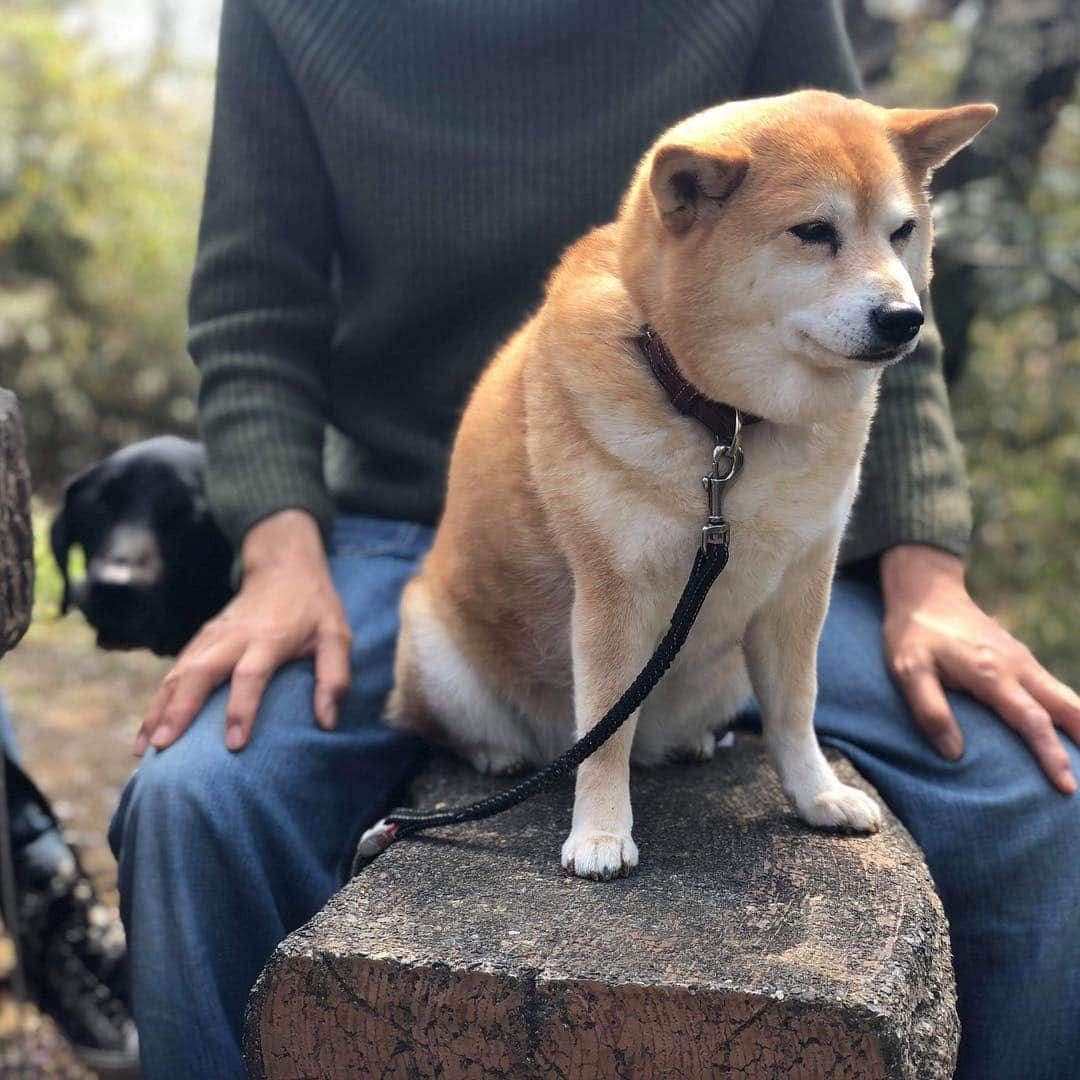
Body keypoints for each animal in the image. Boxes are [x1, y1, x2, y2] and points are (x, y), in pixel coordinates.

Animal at [388, 92, 993, 881]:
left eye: (902, 231)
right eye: (814, 232)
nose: (904, 318)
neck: (726, 423)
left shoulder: (801, 583)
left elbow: (796, 707)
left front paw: (817, 794)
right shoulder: (615, 591)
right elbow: (605, 731)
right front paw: (601, 833)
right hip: (437, 648)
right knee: (485, 730)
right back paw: (497, 753)